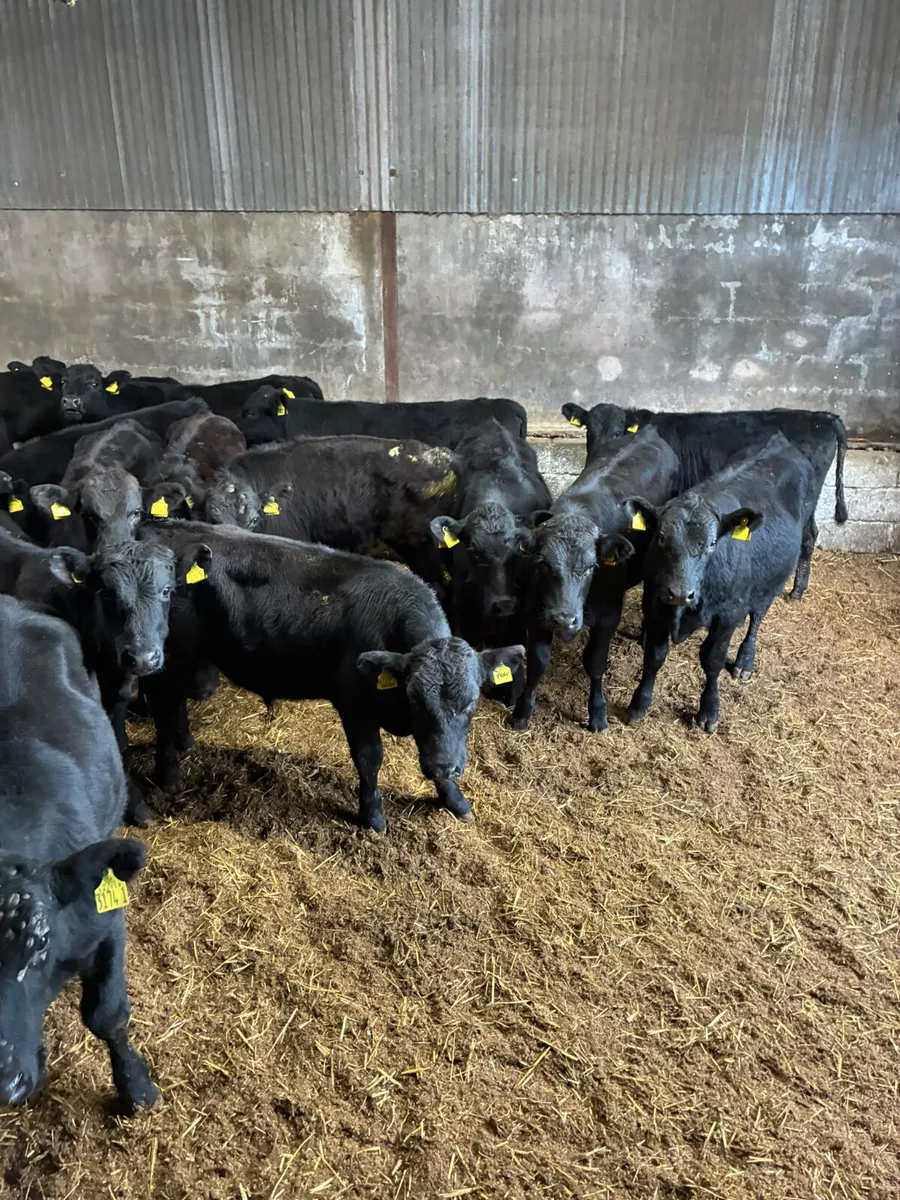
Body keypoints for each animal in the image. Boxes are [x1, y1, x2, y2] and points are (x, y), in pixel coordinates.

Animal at [140, 521, 524, 833]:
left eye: (472, 702)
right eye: (415, 700)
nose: (445, 769)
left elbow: (438, 746)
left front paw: (455, 800)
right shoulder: (354, 704)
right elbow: (370, 759)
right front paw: (373, 816)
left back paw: (186, 743)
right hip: (168, 658)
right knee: (163, 707)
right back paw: (169, 775)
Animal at [510, 427, 680, 733]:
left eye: (591, 567)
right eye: (543, 563)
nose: (564, 620)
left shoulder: (608, 615)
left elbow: (595, 662)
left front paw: (598, 712)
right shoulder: (536, 612)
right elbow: (539, 661)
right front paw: (523, 710)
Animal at [561, 400, 847, 601]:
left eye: (619, 431)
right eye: (588, 431)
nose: (597, 457)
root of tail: (822, 417)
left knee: (808, 537)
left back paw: (797, 590)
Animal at [626, 434, 817, 733]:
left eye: (712, 544)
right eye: (661, 537)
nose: (680, 593)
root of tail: (782, 441)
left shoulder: (727, 613)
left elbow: (712, 659)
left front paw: (709, 710)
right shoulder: (654, 602)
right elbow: (654, 656)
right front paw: (639, 703)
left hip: (769, 584)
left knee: (757, 617)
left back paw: (744, 660)